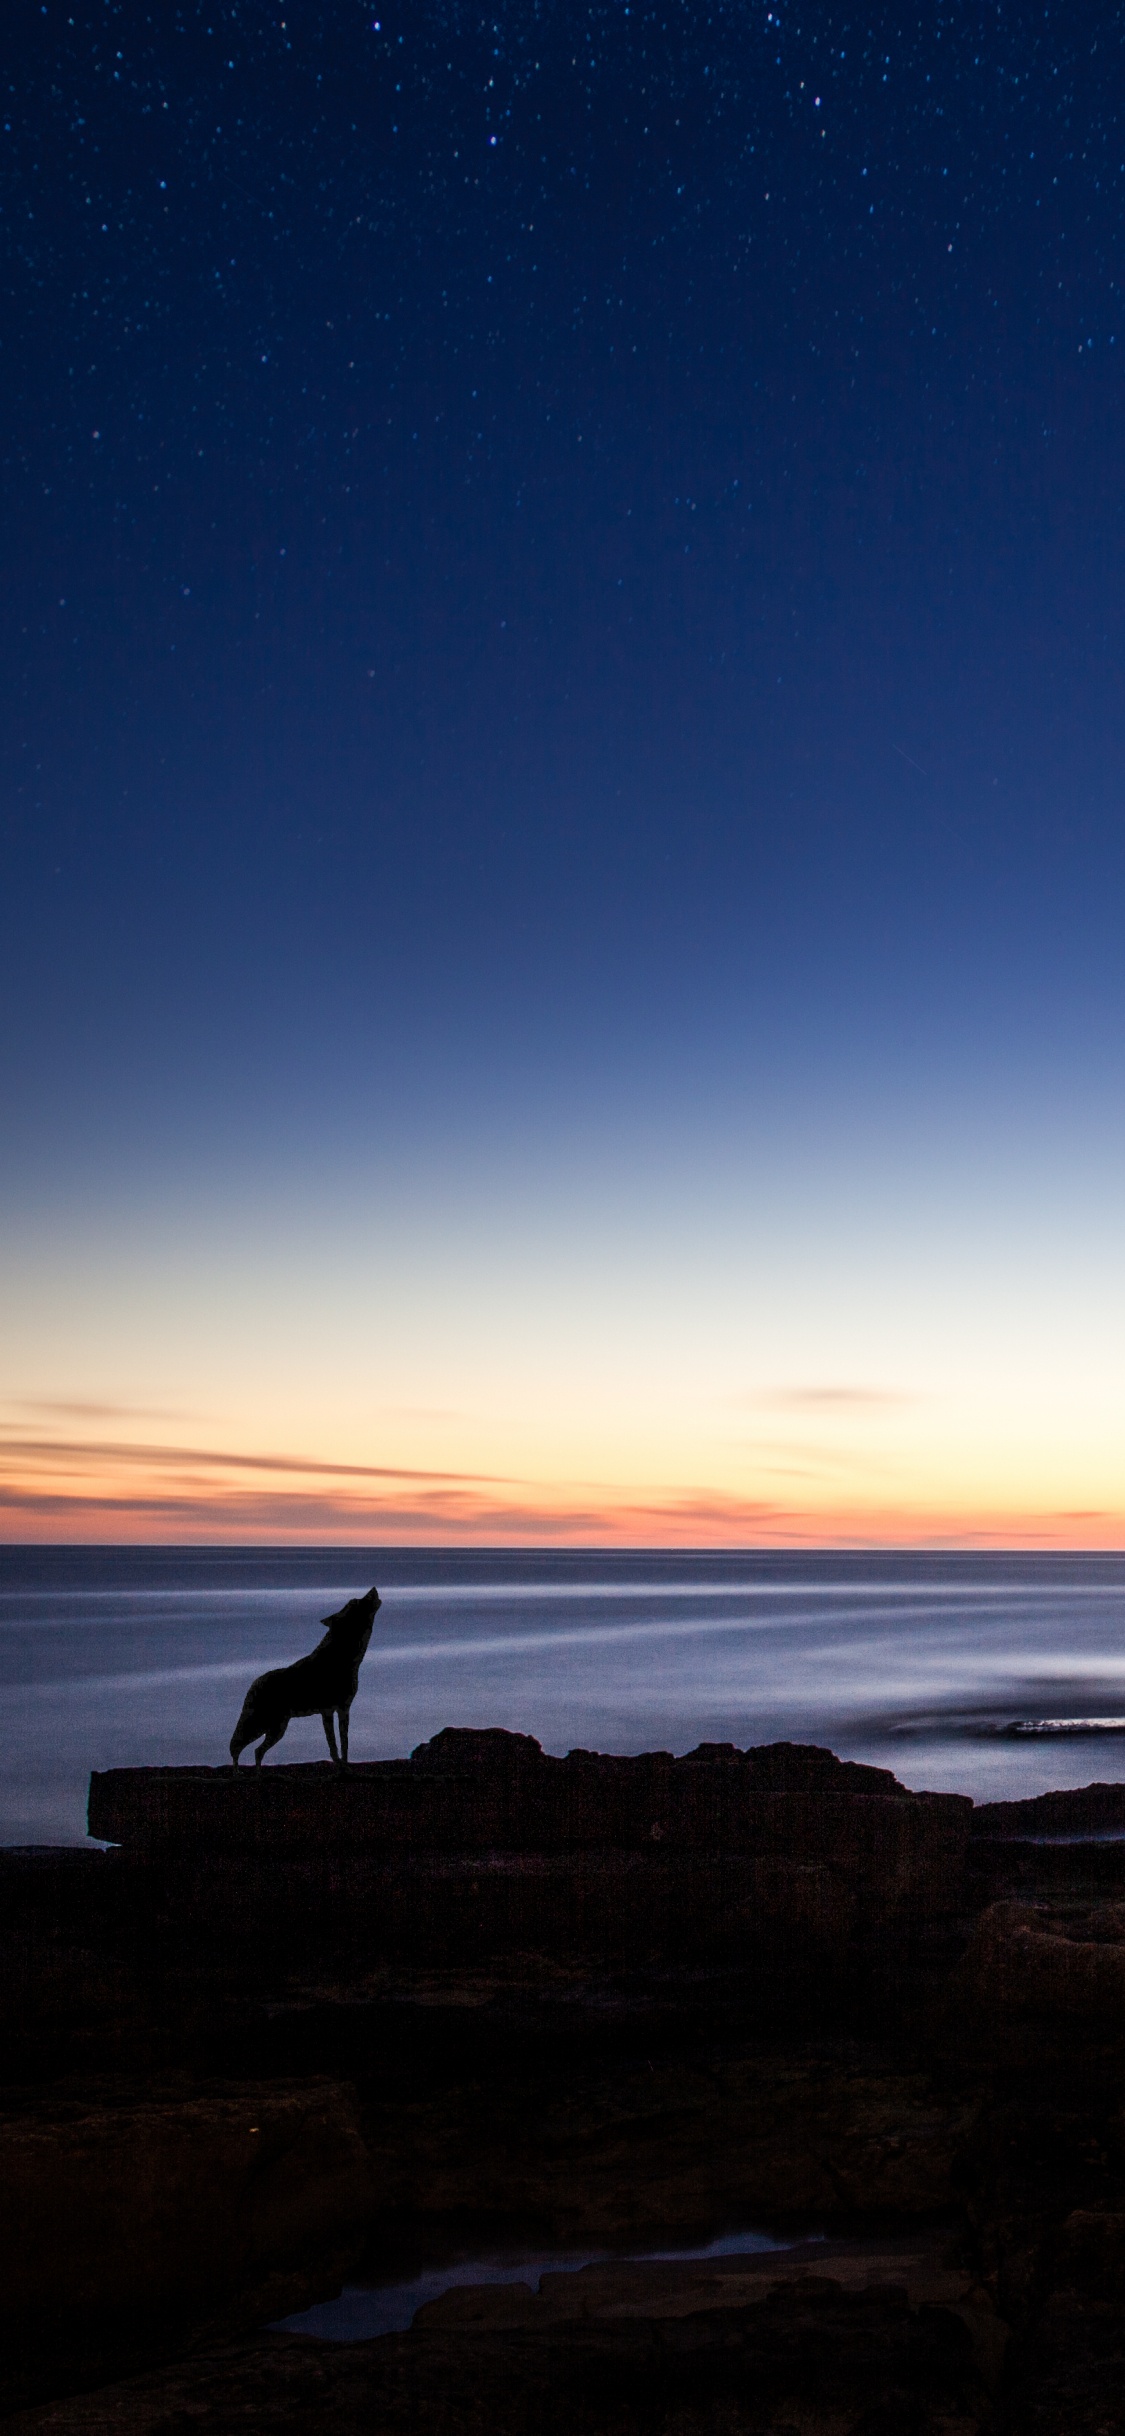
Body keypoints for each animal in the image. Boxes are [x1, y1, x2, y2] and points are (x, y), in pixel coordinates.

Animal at [230, 1578, 382, 1773]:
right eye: (355, 1601)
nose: (374, 1588)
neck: (343, 1657)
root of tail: (254, 1682)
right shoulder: (328, 1711)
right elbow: (333, 1744)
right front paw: (340, 1766)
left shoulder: (343, 1709)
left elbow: (344, 1743)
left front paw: (345, 1766)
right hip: (261, 1725)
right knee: (236, 1746)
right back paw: (237, 1772)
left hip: (277, 1729)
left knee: (257, 1751)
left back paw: (259, 1774)